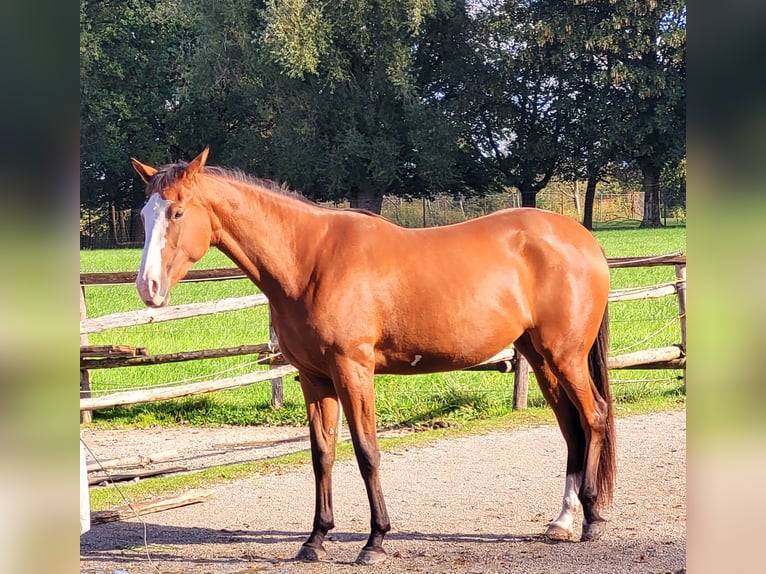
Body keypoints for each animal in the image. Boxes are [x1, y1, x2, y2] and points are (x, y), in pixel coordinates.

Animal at [130, 147, 612, 568]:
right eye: (143, 215)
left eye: (177, 212)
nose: (147, 288)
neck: (310, 261)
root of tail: (582, 240)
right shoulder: (314, 378)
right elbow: (321, 455)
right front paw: (315, 540)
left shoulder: (353, 371)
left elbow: (366, 452)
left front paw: (375, 541)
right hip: (541, 356)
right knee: (571, 427)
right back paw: (563, 521)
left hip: (565, 356)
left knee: (594, 417)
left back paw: (592, 520)